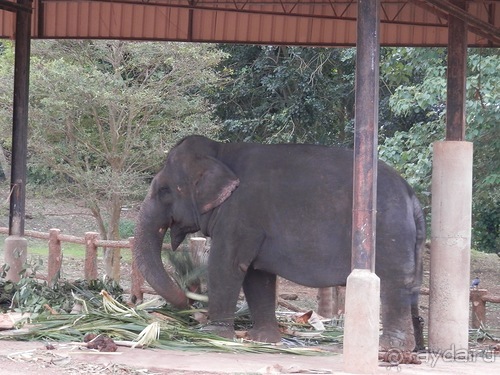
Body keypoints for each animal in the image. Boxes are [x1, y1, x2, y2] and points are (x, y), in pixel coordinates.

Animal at [134, 136, 426, 352]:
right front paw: (263, 340)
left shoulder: (239, 215)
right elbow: (257, 275)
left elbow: (226, 264)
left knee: (393, 284)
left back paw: (389, 350)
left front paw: (212, 334)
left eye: (164, 191)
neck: (220, 150)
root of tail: (411, 196)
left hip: (388, 232)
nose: (189, 301)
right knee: (411, 288)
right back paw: (414, 350)